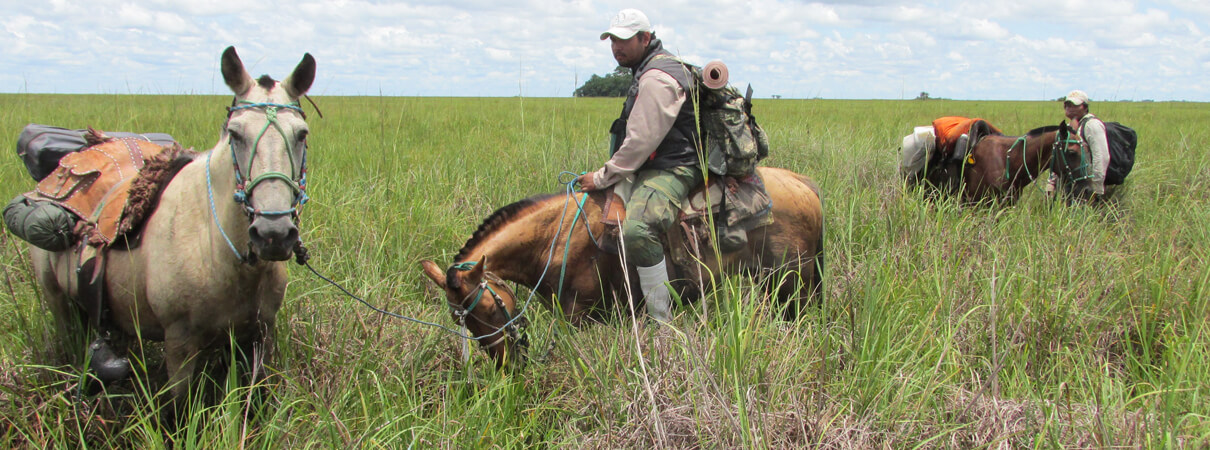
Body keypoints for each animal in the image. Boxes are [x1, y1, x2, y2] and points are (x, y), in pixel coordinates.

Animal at [31, 46, 317, 404]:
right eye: (235, 134)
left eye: (301, 134)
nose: (273, 235)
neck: (216, 248)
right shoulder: (180, 344)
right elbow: (179, 407)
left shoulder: (259, 334)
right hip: (58, 302)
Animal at [421, 166, 827, 362]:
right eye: (462, 321)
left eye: (491, 308)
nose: (506, 364)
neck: (555, 237)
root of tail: (801, 182)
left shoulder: (578, 317)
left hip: (791, 286)